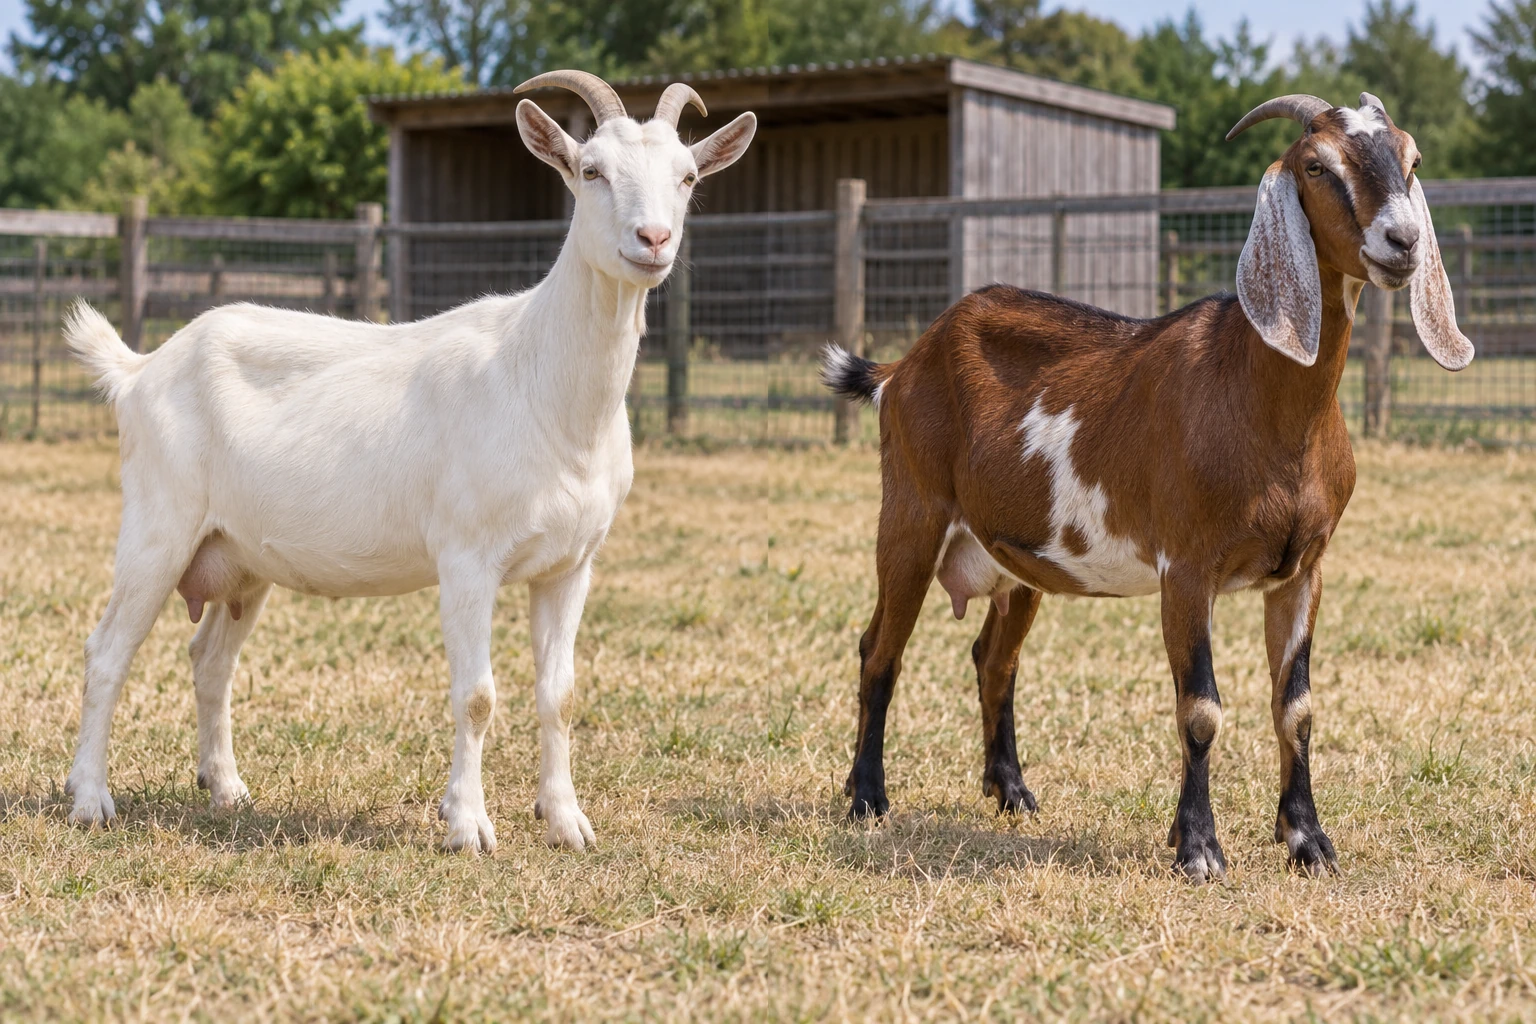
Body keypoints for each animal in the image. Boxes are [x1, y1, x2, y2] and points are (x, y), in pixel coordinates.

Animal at [61, 71, 756, 853]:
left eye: (688, 176)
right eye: (590, 171)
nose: (653, 240)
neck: (542, 385)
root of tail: (140, 369)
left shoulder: (571, 564)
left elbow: (561, 695)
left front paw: (566, 821)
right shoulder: (467, 557)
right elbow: (477, 696)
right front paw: (469, 826)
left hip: (238, 554)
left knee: (211, 660)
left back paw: (227, 789)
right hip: (159, 524)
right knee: (107, 651)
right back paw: (90, 798)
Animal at [822, 93, 1471, 881]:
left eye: (1411, 158)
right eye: (1317, 165)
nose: (1403, 241)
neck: (1257, 395)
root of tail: (903, 364)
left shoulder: (1303, 571)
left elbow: (1297, 709)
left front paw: (1308, 842)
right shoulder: (1185, 567)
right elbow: (1201, 708)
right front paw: (1198, 849)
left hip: (1020, 559)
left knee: (993, 658)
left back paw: (1012, 793)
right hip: (911, 517)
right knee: (879, 649)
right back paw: (866, 797)